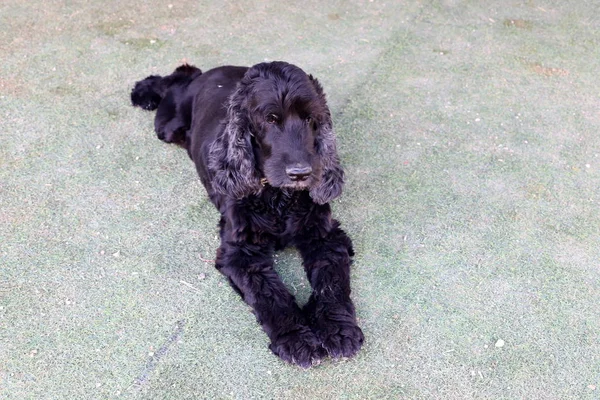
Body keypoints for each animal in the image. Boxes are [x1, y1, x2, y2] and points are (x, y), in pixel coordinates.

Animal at [131, 61, 364, 366]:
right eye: (270, 120)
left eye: (310, 119)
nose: (301, 174)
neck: (279, 198)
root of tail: (213, 71)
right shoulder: (240, 252)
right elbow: (269, 295)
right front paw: (296, 339)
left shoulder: (326, 236)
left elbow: (332, 282)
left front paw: (338, 329)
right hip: (167, 127)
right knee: (181, 74)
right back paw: (143, 91)